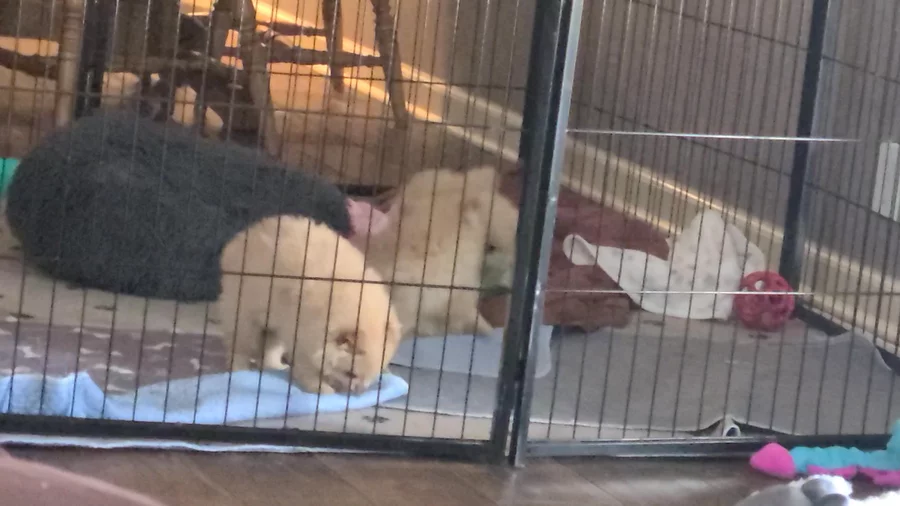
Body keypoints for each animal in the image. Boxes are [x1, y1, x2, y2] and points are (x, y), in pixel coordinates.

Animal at [217, 215, 402, 395]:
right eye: (350, 374)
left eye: (375, 373)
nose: (358, 392)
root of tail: (241, 238)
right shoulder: (303, 335)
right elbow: (307, 367)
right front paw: (322, 388)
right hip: (244, 309)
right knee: (240, 342)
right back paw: (240, 369)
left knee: (271, 345)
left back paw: (275, 367)